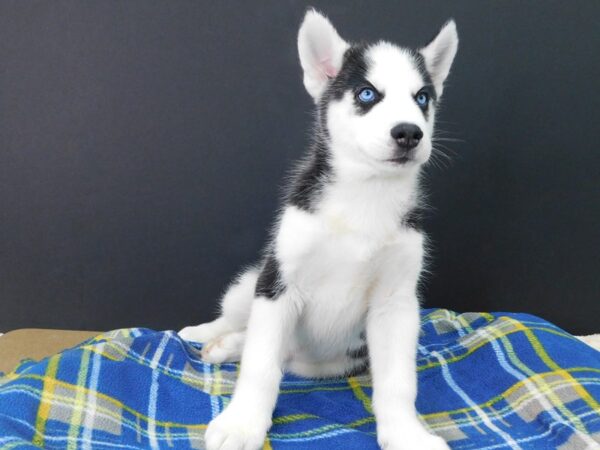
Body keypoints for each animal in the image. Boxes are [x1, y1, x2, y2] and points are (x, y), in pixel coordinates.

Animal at [180, 10, 458, 450]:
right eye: (367, 94)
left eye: (422, 98)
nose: (409, 133)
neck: (364, 196)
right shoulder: (279, 285)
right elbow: (260, 367)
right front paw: (242, 424)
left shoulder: (396, 303)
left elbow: (397, 382)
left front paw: (405, 433)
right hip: (251, 284)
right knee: (242, 324)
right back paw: (208, 334)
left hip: (328, 362)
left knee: (277, 351)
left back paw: (227, 346)